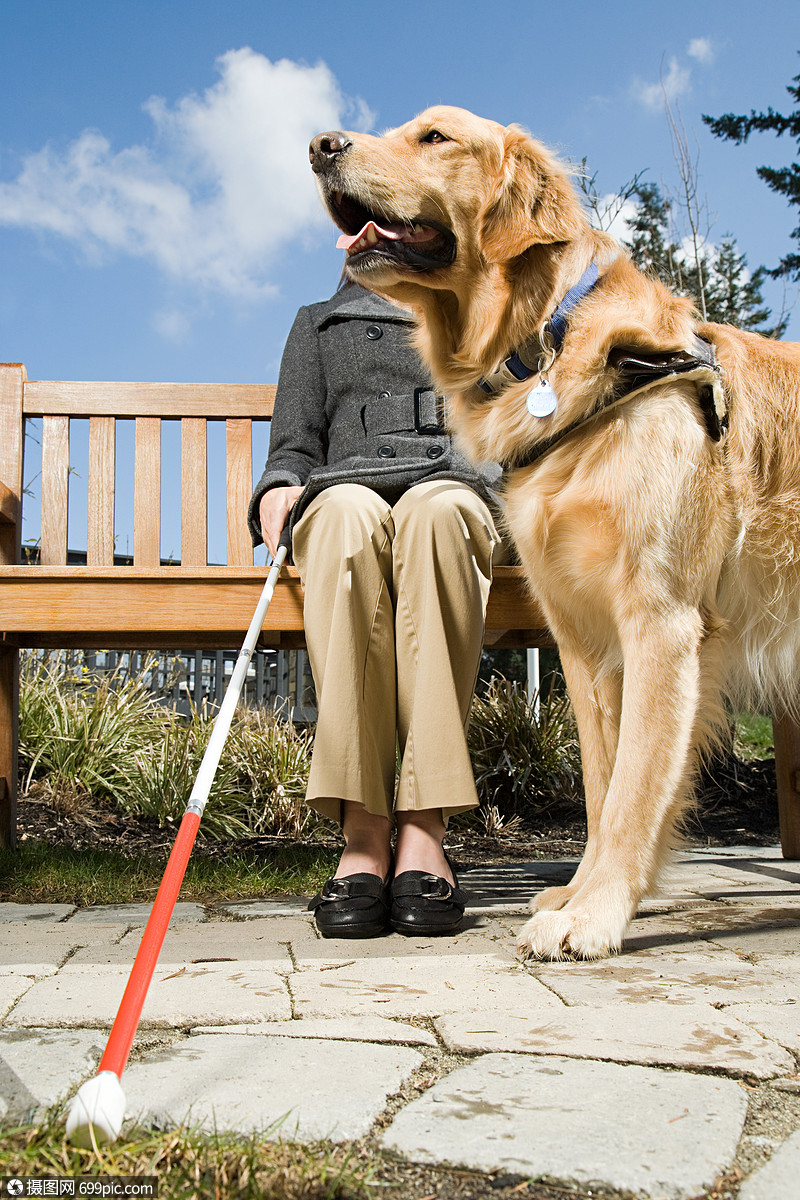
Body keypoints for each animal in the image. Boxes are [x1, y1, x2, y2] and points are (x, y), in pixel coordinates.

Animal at [309, 108, 800, 960]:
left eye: (434, 137)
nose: (318, 146)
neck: (549, 345)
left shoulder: (660, 624)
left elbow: (635, 787)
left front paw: (596, 914)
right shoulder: (582, 638)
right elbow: (602, 787)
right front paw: (579, 894)